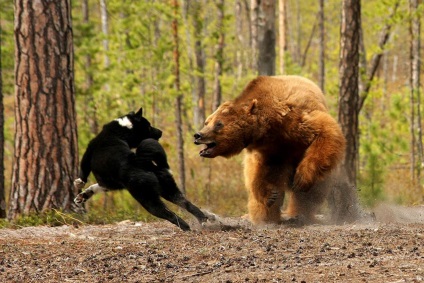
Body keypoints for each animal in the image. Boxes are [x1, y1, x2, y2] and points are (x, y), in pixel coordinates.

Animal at [74, 108, 212, 231]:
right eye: (149, 126)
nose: (161, 132)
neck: (120, 131)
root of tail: (141, 162)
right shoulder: (110, 183)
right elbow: (94, 187)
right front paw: (83, 196)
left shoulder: (88, 153)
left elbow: (84, 172)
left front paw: (79, 183)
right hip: (168, 189)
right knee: (187, 204)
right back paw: (203, 220)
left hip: (147, 198)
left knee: (170, 215)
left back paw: (186, 228)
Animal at [194, 76, 346, 226]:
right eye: (207, 122)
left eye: (218, 124)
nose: (198, 135)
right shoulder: (269, 151)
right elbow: (263, 174)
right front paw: (270, 196)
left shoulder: (295, 121)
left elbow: (326, 131)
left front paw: (301, 178)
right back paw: (264, 217)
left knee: (312, 192)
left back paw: (299, 214)